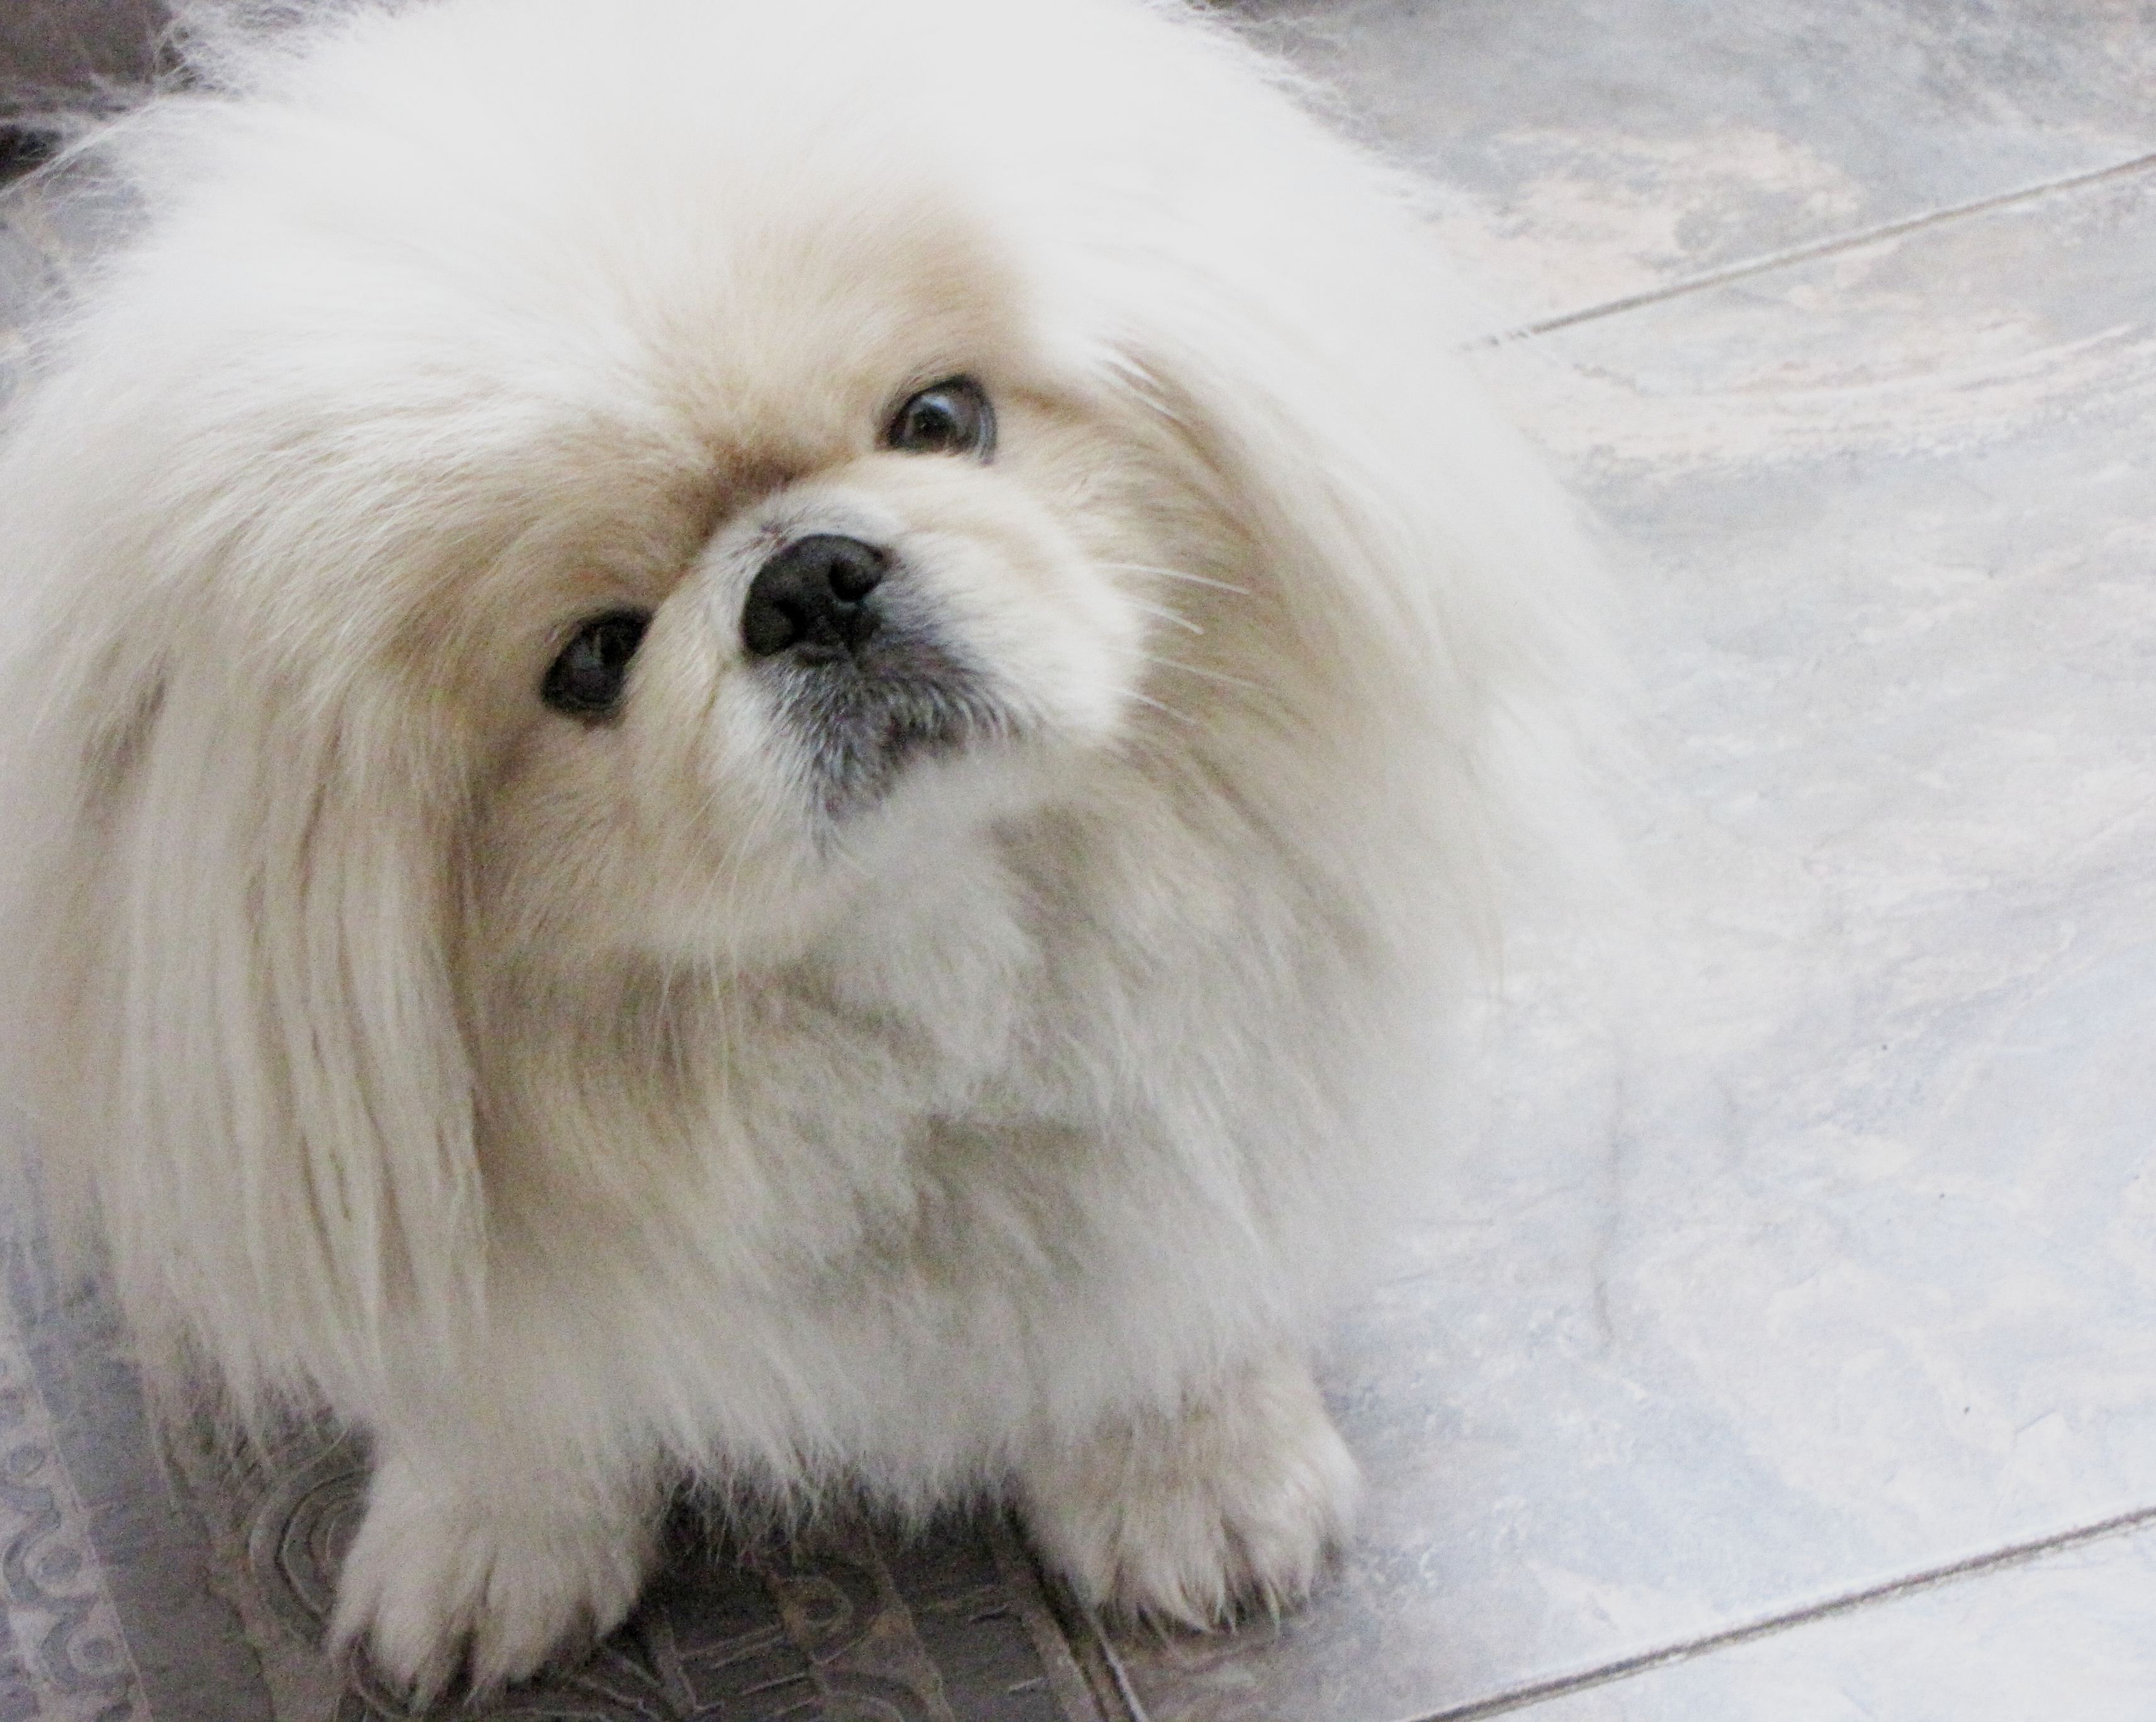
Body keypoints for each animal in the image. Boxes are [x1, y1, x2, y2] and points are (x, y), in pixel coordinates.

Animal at [0, 0, 1595, 1697]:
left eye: (940, 420)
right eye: (593, 659)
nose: (813, 580)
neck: (918, 955)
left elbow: (1172, 1271)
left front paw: (1195, 1473)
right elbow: (498, 1383)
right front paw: (485, 1541)